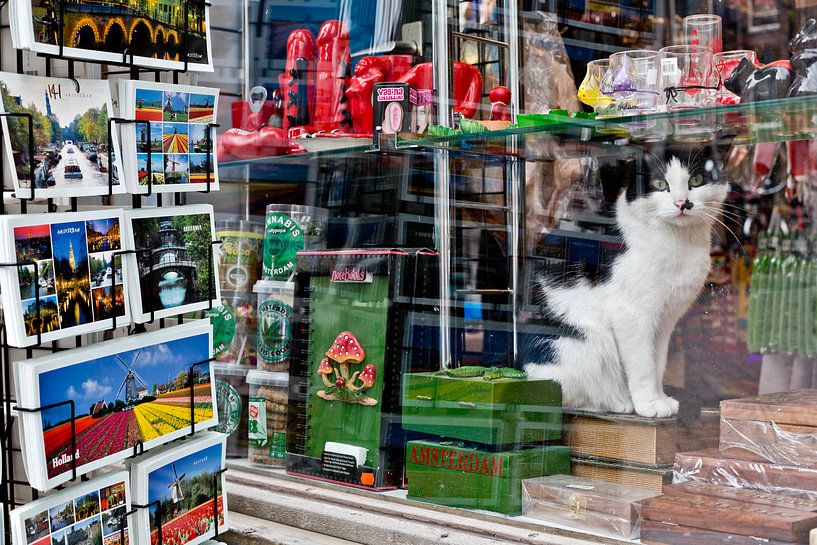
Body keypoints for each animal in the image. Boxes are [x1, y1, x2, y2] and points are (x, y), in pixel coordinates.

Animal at [524, 143, 728, 416]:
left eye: (696, 180)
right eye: (660, 183)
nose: (682, 203)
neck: (679, 242)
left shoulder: (665, 319)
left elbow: (658, 362)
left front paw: (659, 397)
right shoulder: (632, 313)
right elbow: (643, 364)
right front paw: (648, 403)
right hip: (584, 340)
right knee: (565, 394)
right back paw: (616, 402)